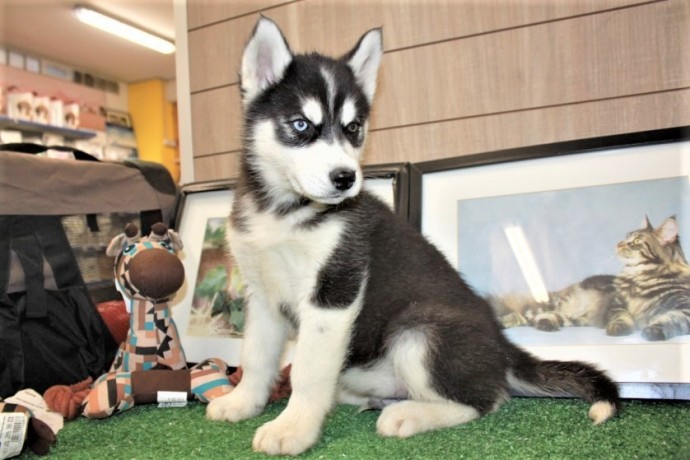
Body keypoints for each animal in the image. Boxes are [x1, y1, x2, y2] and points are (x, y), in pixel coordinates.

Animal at [206, 17, 620, 456]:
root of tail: (503, 346)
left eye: (353, 129)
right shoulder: (261, 293)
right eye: (301, 124)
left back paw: (408, 415)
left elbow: (308, 370)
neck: (283, 211)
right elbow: (255, 356)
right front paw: (243, 402)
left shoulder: (334, 290)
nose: (346, 178)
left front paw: (293, 428)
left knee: (486, 399)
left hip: (418, 332)